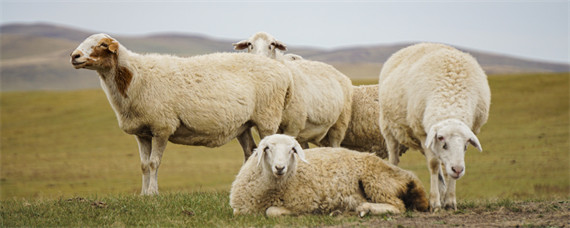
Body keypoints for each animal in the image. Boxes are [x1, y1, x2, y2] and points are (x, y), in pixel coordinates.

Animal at [69, 33, 304, 195]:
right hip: (243, 125)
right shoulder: (142, 133)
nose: (74, 56)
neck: (134, 76)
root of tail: (284, 71)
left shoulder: (162, 127)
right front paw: (143, 194)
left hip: (267, 118)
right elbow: (144, 165)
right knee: (250, 154)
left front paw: (153, 194)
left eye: (102, 45)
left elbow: (154, 163)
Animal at [226, 134, 426, 217]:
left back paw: (366, 208)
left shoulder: (304, 202)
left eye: (292, 150)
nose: (280, 167)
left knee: (398, 206)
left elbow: (272, 211)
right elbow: (238, 212)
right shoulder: (240, 209)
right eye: (267, 148)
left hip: (376, 181)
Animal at [378, 43, 488, 212]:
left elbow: (447, 170)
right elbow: (434, 165)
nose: (458, 170)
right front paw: (435, 202)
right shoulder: (423, 133)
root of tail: (416, 44)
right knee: (394, 158)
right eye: (442, 140)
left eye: (466, 144)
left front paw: (449, 201)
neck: (450, 100)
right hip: (388, 128)